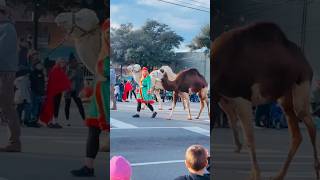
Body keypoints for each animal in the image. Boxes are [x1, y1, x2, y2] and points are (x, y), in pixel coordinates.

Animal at [211, 21, 318, 180]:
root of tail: (305, 61)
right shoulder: (223, 98)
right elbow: (232, 123)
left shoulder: (241, 97)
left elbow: (249, 138)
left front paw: (255, 174)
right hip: (285, 97)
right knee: (297, 135)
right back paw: (279, 175)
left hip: (301, 85)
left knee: (309, 123)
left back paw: (316, 171)